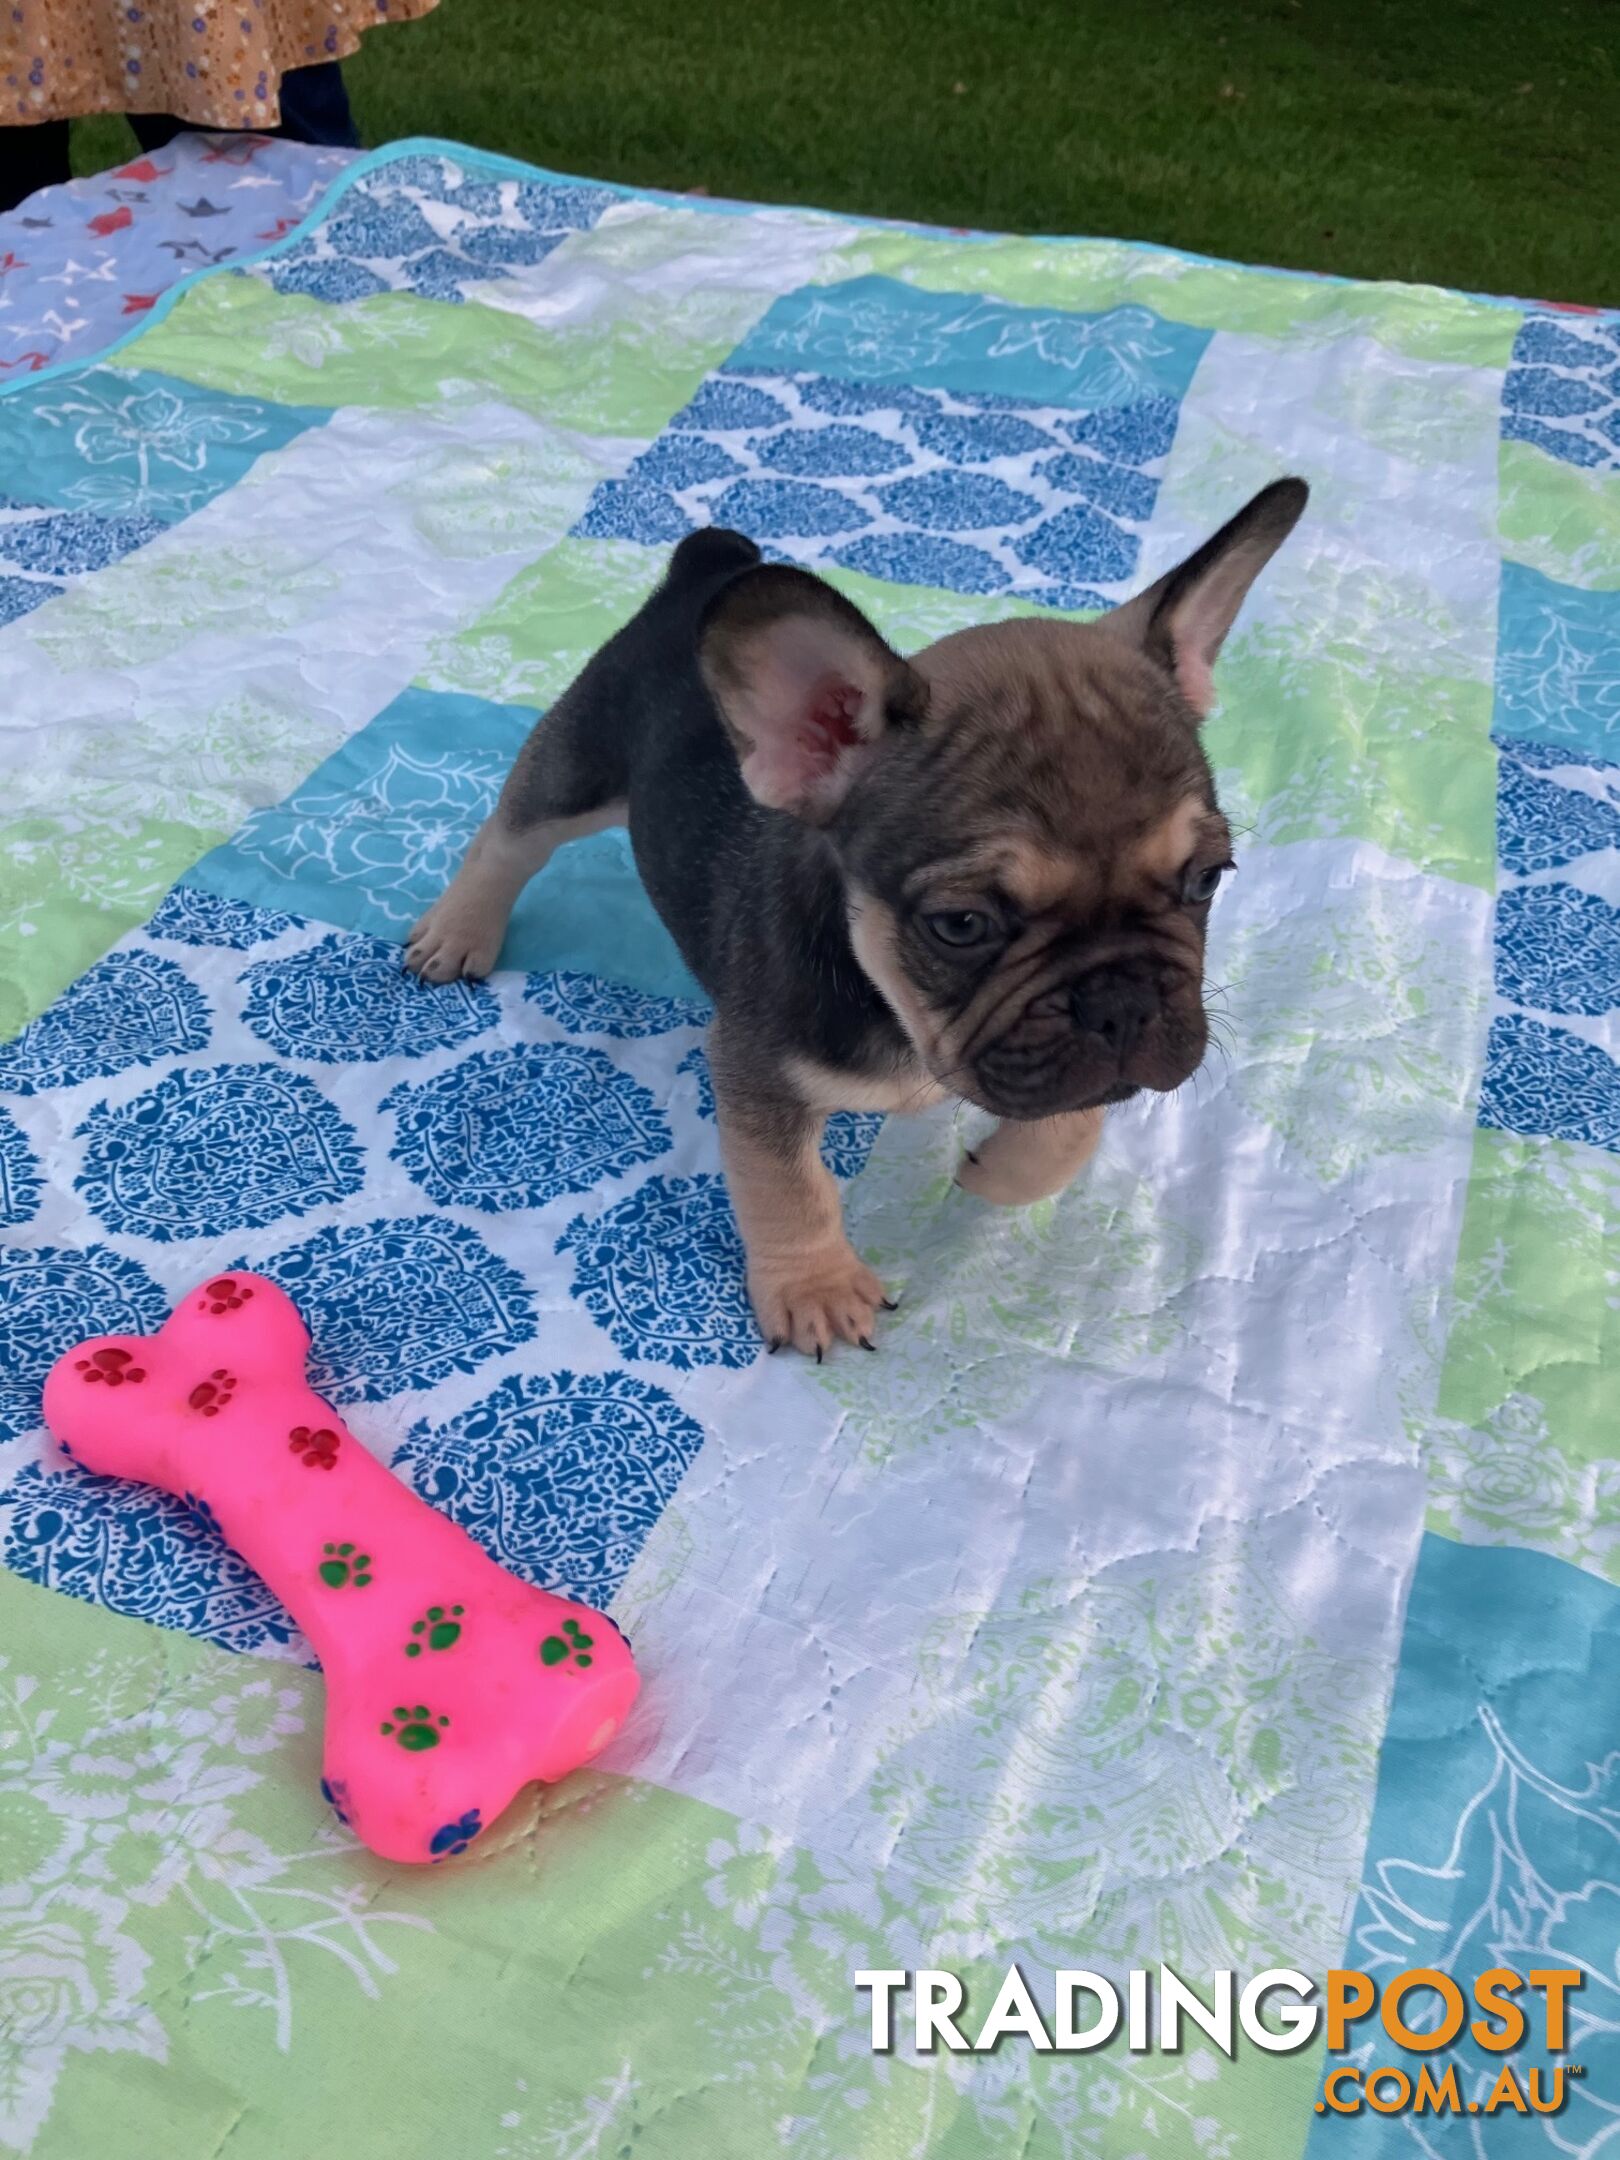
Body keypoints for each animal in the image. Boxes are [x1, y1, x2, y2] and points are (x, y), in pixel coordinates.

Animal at [412, 486, 1313, 1347]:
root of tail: (704, 569)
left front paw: (998, 1172)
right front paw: (815, 1288)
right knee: (510, 835)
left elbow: (1069, 1127)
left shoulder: (1077, 1066)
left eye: (1207, 880)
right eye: (962, 925)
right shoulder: (758, 1072)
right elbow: (788, 1187)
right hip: (581, 761)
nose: (1121, 1003)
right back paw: (457, 932)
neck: (902, 1011)